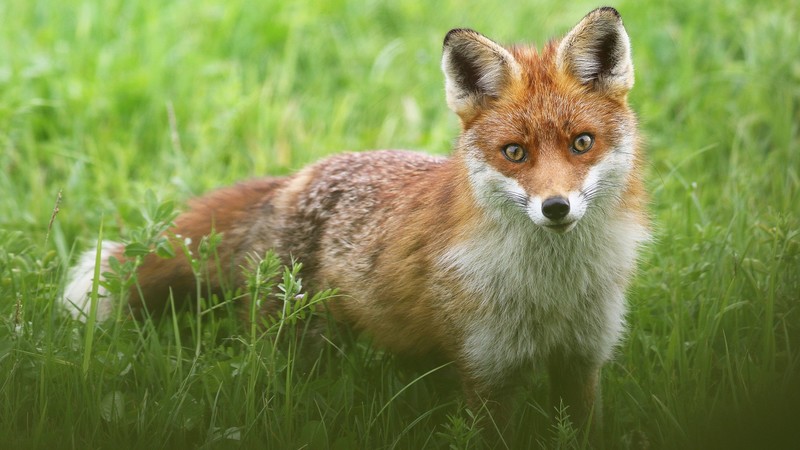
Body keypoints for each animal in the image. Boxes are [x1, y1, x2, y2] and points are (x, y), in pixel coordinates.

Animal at [63, 6, 648, 439]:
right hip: (293, 349)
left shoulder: (582, 361)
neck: (552, 291)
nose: (556, 207)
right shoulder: (486, 370)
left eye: (582, 143)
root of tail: (296, 178)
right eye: (514, 152)